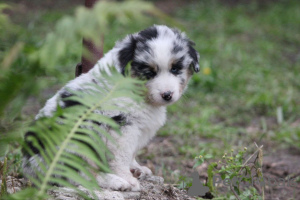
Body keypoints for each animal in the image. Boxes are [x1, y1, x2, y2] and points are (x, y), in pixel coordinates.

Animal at [22, 24, 200, 191]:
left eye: (175, 69)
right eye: (149, 73)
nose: (167, 95)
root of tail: (28, 169)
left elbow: (131, 154)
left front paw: (137, 168)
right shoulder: (121, 127)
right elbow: (120, 157)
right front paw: (127, 178)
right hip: (77, 143)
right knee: (79, 175)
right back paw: (116, 182)